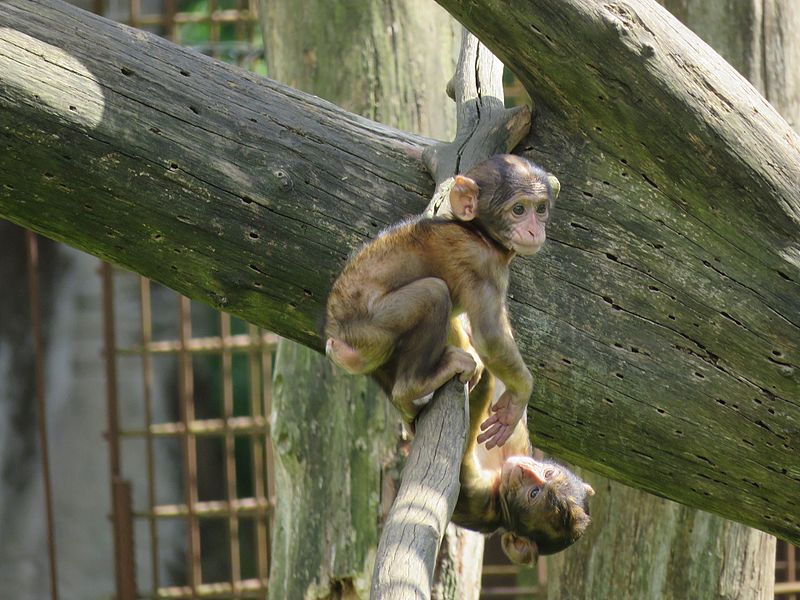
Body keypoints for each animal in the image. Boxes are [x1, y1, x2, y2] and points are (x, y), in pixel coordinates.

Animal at [324, 155, 556, 450]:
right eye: (518, 209)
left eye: (541, 208)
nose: (534, 229)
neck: (476, 230)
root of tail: (335, 340)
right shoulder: (483, 264)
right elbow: (490, 336)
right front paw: (518, 398)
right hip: (368, 332)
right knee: (433, 293)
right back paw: (412, 386)